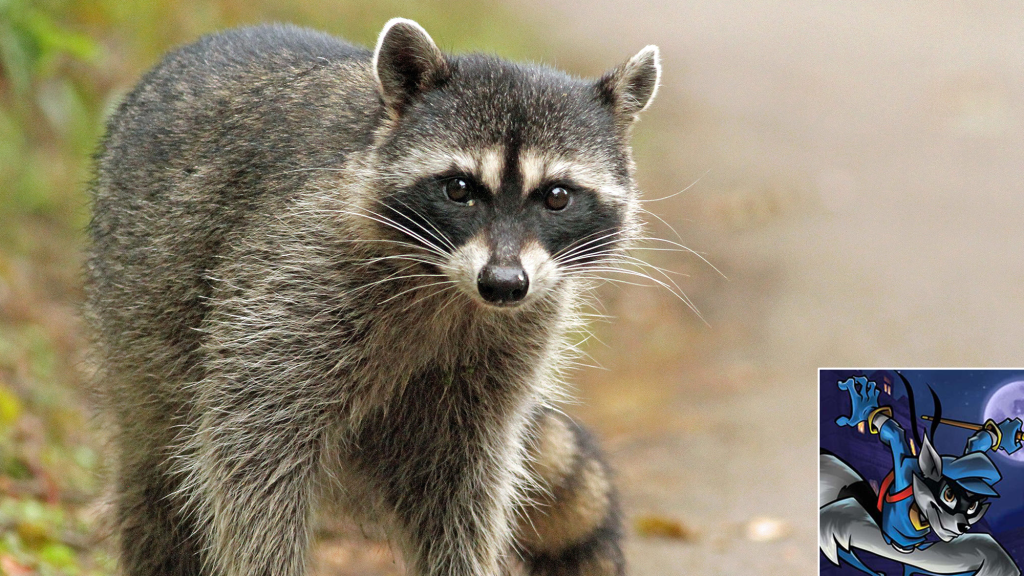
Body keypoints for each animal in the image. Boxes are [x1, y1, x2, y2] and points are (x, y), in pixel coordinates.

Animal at [86, 16, 663, 573]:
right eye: (459, 189)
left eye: (557, 197)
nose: (502, 284)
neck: (449, 286)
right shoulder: (293, 273)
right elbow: (249, 451)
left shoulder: (515, 333)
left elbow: (460, 485)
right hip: (138, 322)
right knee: (159, 489)